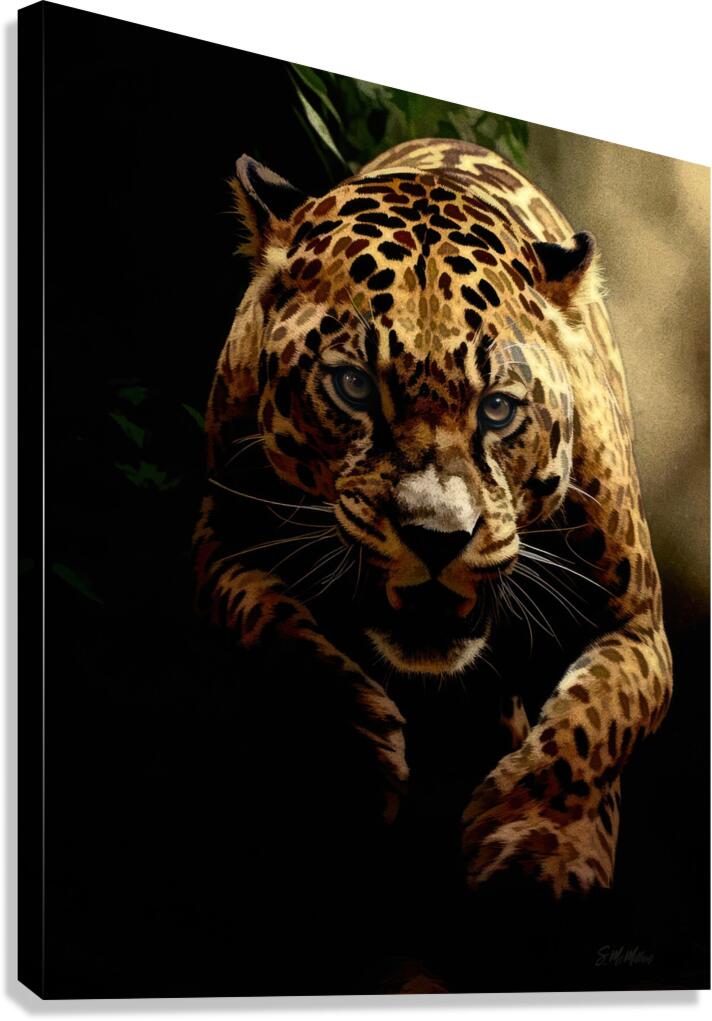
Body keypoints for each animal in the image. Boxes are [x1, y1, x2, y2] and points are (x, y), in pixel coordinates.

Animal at [193, 137, 673, 902]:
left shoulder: (637, 623)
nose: (438, 538)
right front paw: (356, 766)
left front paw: (535, 842)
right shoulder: (222, 544)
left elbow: (593, 723)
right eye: (354, 386)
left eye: (498, 408)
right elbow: (282, 638)